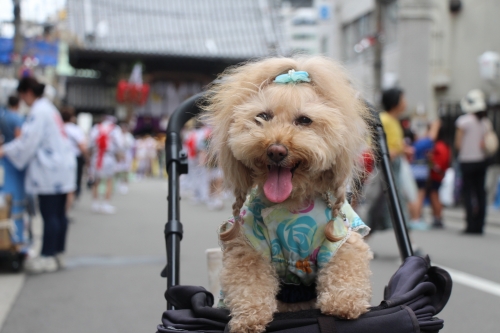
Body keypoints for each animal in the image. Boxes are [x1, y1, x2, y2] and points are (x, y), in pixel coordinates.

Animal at [202, 57, 372, 332]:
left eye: (304, 120)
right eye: (263, 116)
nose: (276, 150)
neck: (291, 204)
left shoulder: (342, 239)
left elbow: (346, 264)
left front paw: (344, 303)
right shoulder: (250, 245)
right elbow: (249, 283)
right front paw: (249, 319)